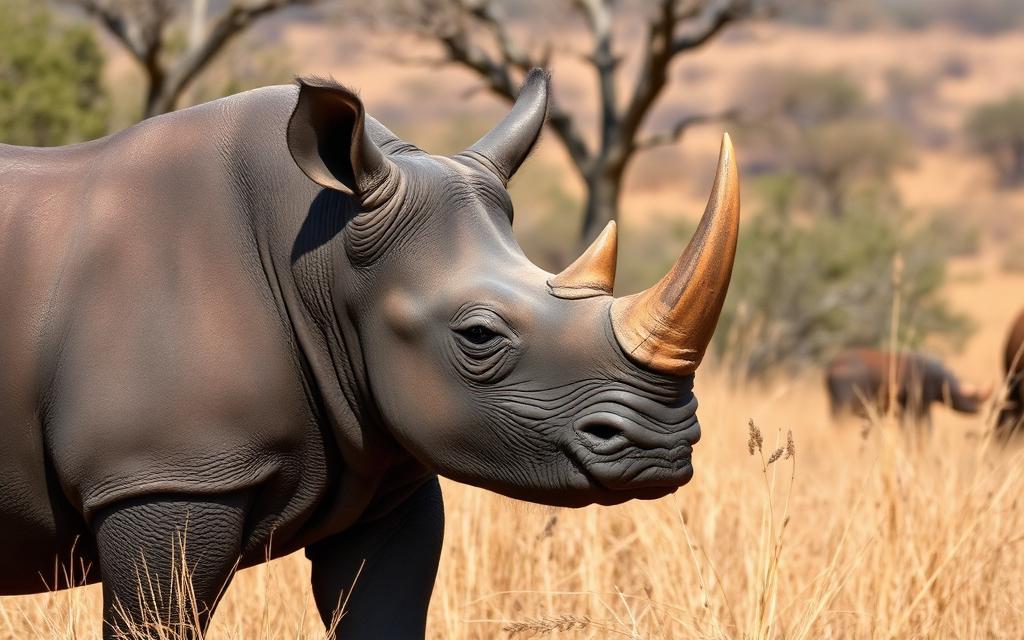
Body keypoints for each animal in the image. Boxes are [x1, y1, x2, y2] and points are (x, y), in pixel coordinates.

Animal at [0, 69, 739, 638]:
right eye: (479, 337)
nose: (665, 444)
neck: (324, 257)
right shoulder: (165, 475)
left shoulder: (385, 476)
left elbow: (383, 606)